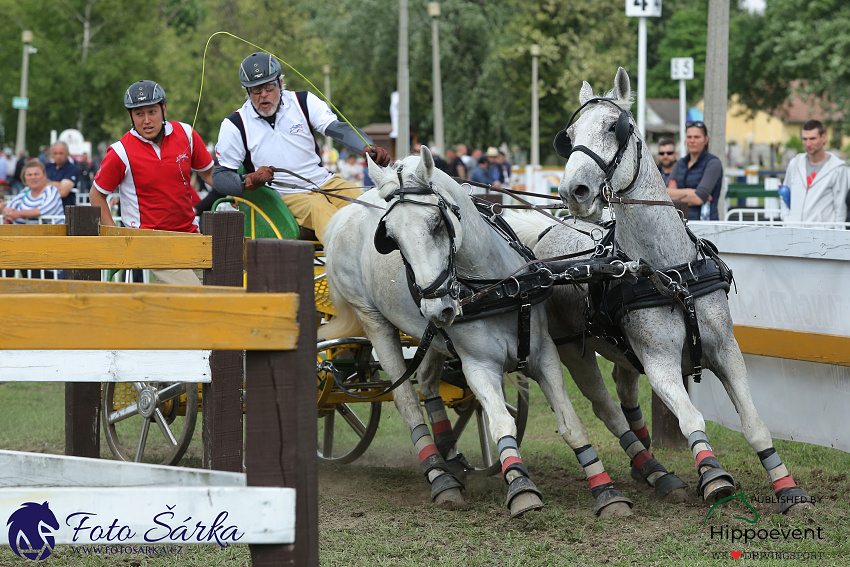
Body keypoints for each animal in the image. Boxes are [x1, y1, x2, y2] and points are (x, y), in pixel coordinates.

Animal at [322, 148, 632, 520]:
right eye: (391, 238)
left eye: (436, 223)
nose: (437, 307)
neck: (497, 286)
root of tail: (345, 212)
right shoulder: (478, 366)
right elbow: (501, 423)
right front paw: (520, 486)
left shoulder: (543, 354)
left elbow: (571, 423)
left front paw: (606, 490)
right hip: (374, 321)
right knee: (407, 400)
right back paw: (439, 476)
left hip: (432, 337)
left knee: (428, 383)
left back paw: (448, 453)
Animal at [528, 67, 816, 516]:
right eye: (570, 135)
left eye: (614, 127)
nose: (573, 192)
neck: (669, 271)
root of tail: (544, 235)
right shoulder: (660, 363)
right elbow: (691, 418)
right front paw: (713, 476)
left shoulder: (726, 351)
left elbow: (754, 424)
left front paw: (786, 487)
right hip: (573, 350)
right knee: (606, 408)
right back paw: (648, 470)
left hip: (622, 352)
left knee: (625, 391)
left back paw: (649, 465)